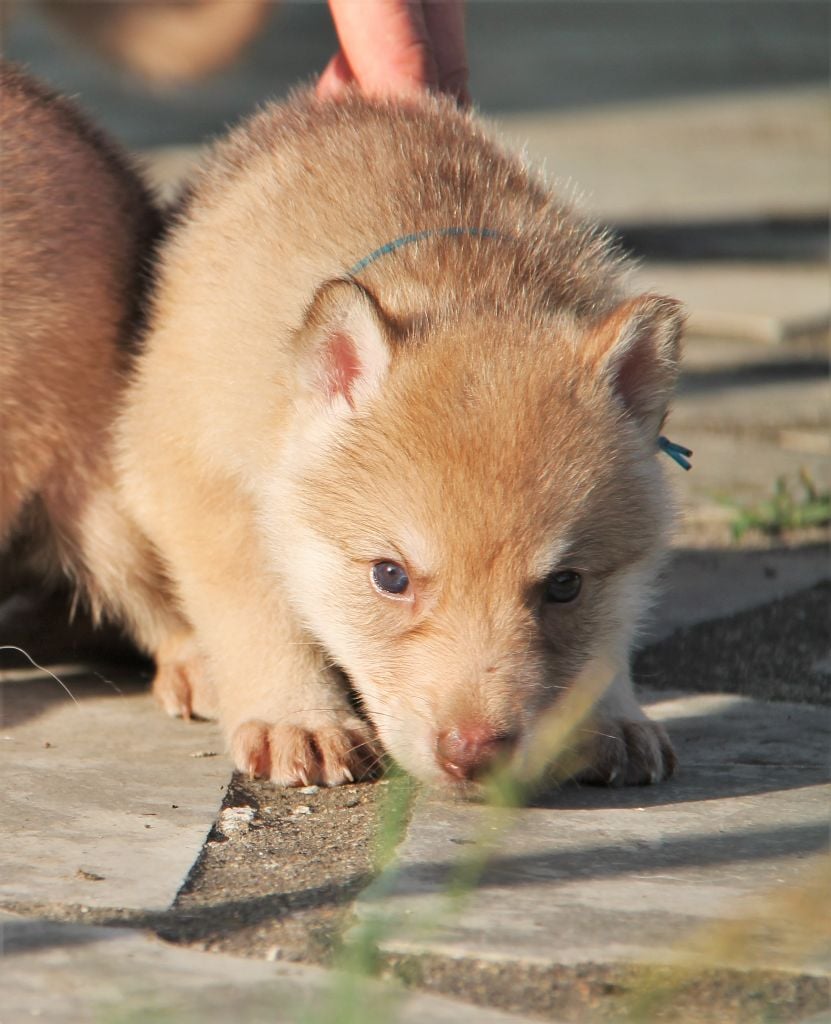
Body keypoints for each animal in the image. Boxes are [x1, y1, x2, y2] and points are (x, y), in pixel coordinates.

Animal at [115, 90, 683, 790]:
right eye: (391, 576)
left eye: (564, 585)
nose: (474, 755)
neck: (465, 284)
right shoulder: (204, 482)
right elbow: (256, 612)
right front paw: (298, 719)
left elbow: (609, 638)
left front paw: (613, 718)